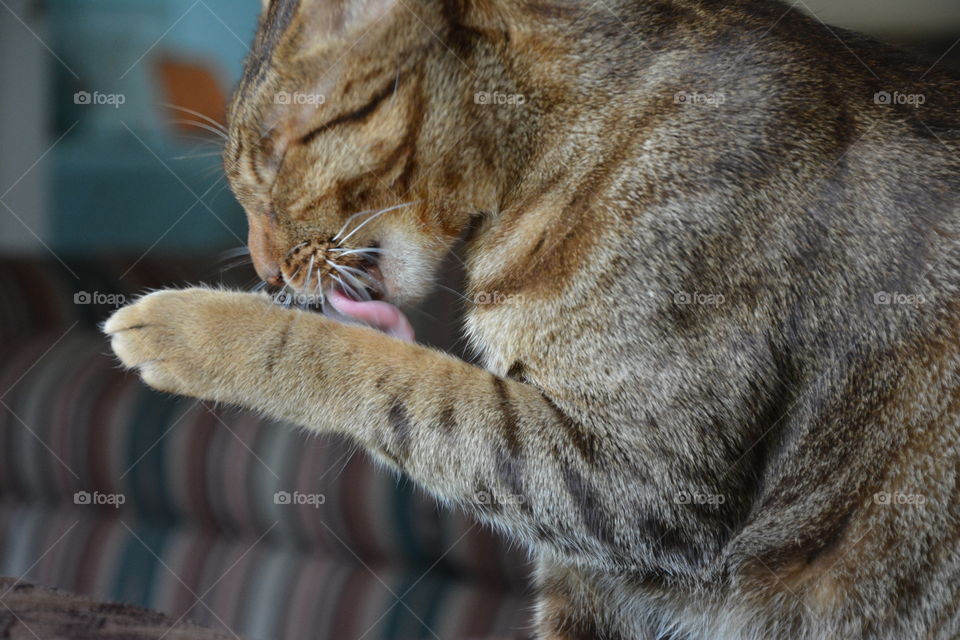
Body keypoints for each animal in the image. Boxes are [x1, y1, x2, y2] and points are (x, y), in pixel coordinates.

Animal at [105, 0, 960, 636]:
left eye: (273, 163)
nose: (262, 269)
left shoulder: (646, 476)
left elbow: (389, 376)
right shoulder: (594, 566)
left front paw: (191, 326)